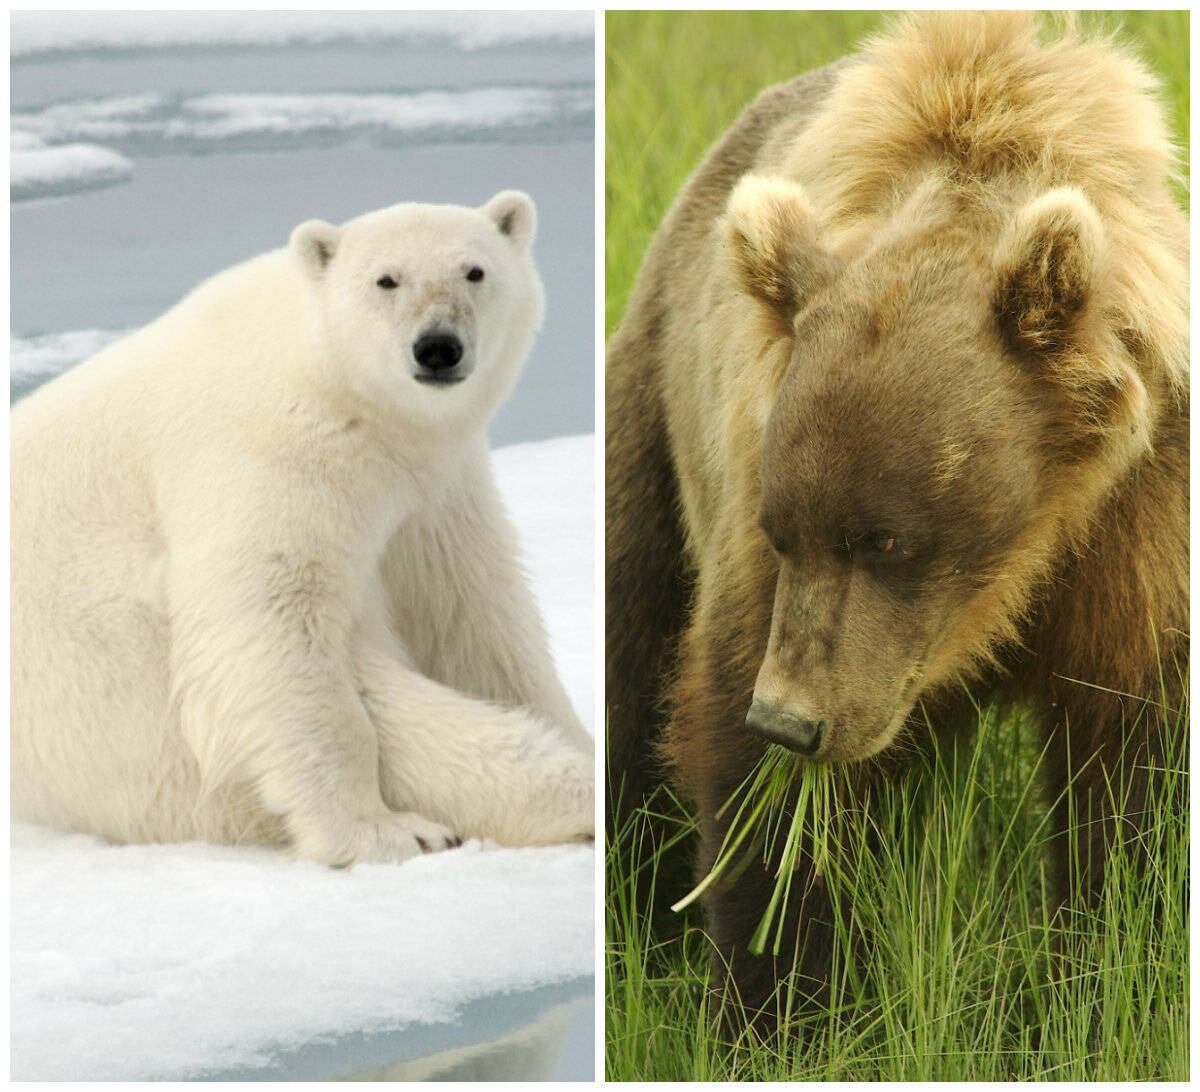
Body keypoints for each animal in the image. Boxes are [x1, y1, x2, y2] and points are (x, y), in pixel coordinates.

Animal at [12, 191, 594, 867]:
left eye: (474, 271)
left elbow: (470, 616)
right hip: (117, 713)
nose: (437, 347)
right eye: (386, 279)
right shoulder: (266, 455)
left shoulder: (433, 493)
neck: (344, 394)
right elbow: (269, 622)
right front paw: (378, 830)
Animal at [606, 12, 1188, 1023]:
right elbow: (766, 804)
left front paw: (1103, 982)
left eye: (886, 538)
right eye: (784, 529)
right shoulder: (756, 513)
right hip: (652, 425)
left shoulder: (1138, 535)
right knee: (624, 658)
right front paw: (782, 1006)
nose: (791, 721)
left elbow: (1133, 782)